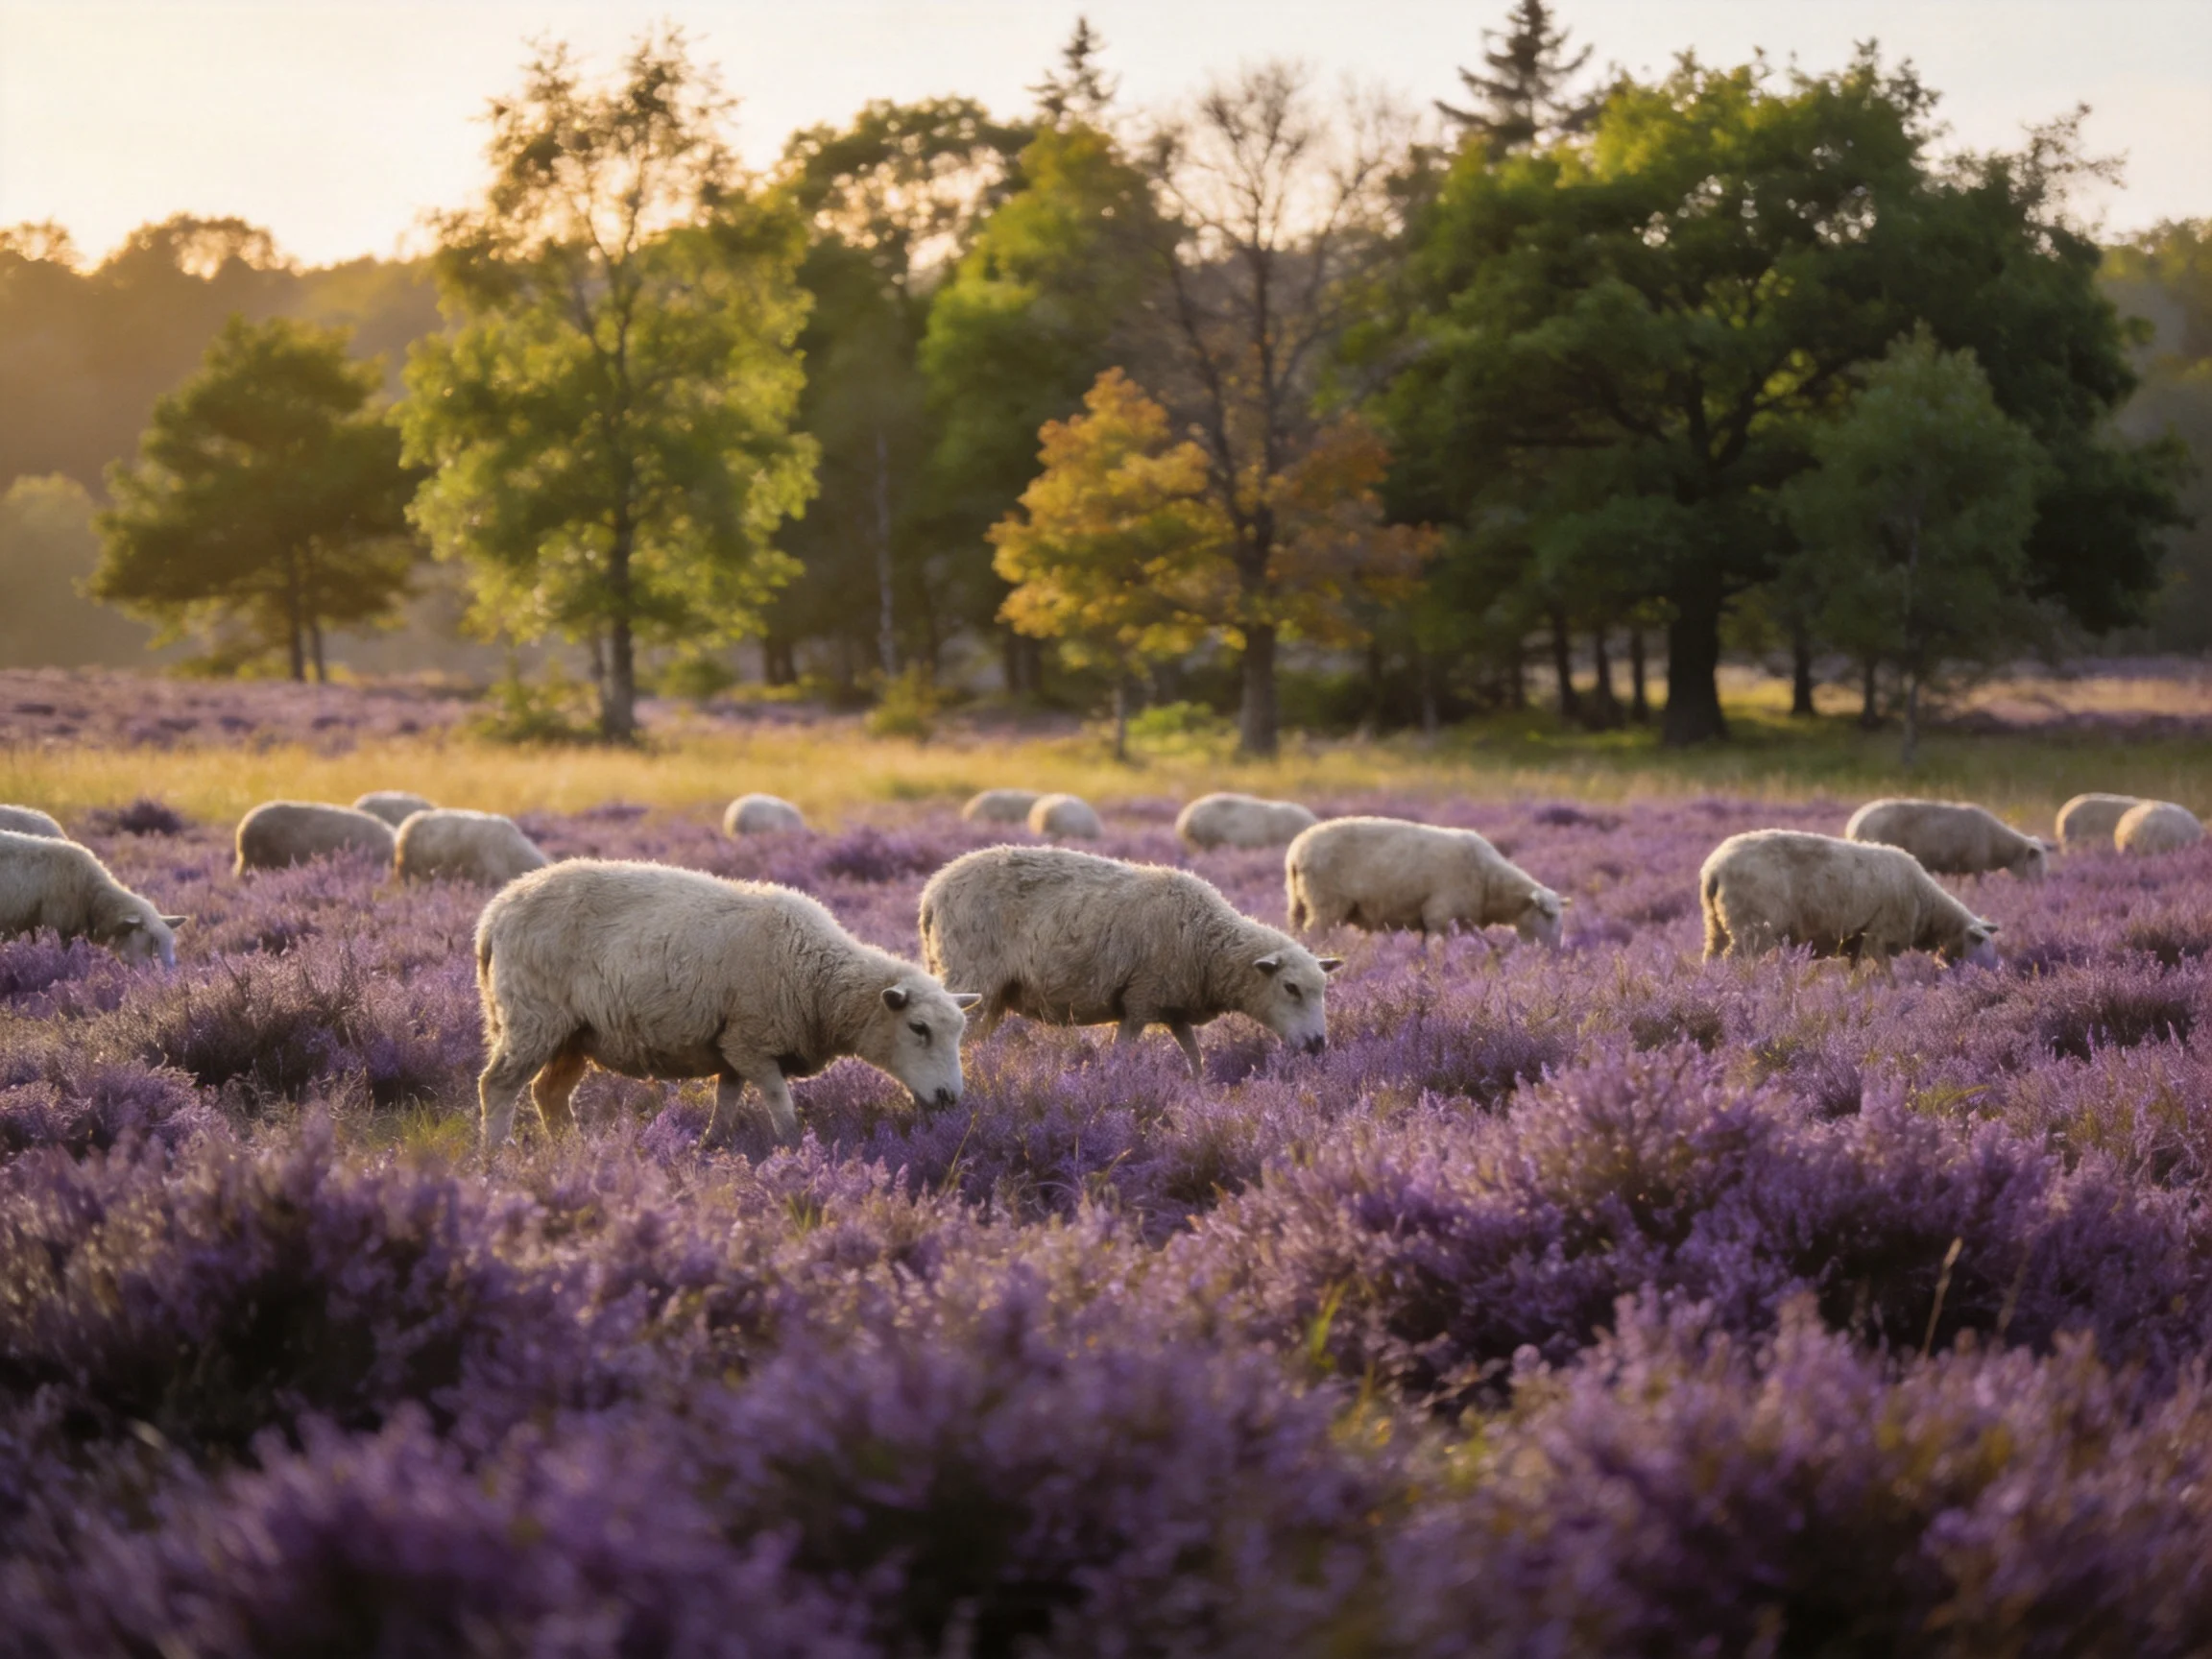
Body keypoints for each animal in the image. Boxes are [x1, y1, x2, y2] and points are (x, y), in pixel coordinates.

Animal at [474, 859, 978, 1151]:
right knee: (497, 1085)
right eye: (918, 1028)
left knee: (549, 1094)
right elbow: (778, 1101)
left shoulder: (732, 1043)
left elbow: (727, 1099)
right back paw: (497, 1155)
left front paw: (711, 1144)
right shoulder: (752, 1041)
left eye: (958, 1031)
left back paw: (572, 1151)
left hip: (574, 1034)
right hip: (533, 1018)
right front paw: (794, 1147)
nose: (949, 1098)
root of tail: (495, 912)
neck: (814, 977)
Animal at [918, 844, 1341, 1076]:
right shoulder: (1139, 1001)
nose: (1318, 1045)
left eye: (1322, 989)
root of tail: (932, 890)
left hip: (989, 994)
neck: (1207, 942)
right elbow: (1121, 1057)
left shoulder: (1172, 1005)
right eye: (1290, 988)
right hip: (973, 978)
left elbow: (1195, 1057)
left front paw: (1200, 1091)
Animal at [1284, 816, 1568, 946]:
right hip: (1326, 904)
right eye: (1548, 915)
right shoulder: (1440, 914)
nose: (1555, 951)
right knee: (1314, 935)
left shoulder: (1449, 921)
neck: (1490, 882)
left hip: (1299, 902)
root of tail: (1297, 851)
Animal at [1699, 829, 1996, 967]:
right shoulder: (1878, 938)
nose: (1996, 972)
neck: (1928, 906)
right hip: (1751, 928)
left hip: (1716, 923)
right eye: (1981, 943)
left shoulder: (1859, 945)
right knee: (1733, 960)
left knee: (1712, 958)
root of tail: (1713, 868)